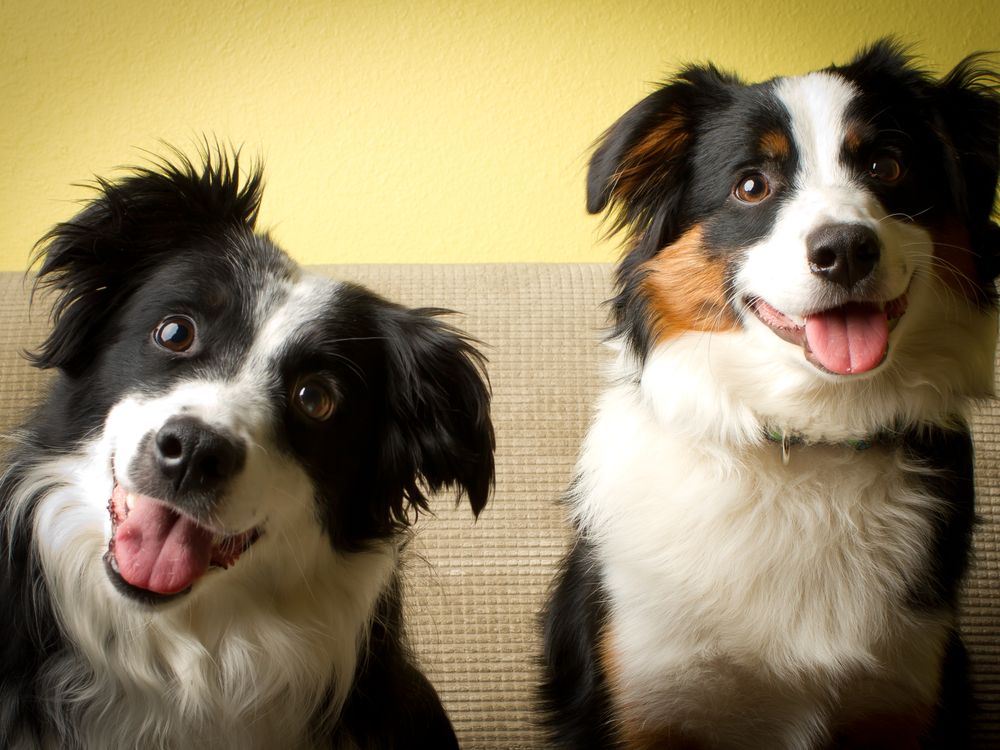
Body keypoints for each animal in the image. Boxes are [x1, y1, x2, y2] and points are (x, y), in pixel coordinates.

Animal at [548, 42, 1000, 750]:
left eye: (887, 165)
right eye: (752, 185)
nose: (845, 249)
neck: (807, 440)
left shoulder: (902, 695)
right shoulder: (646, 698)